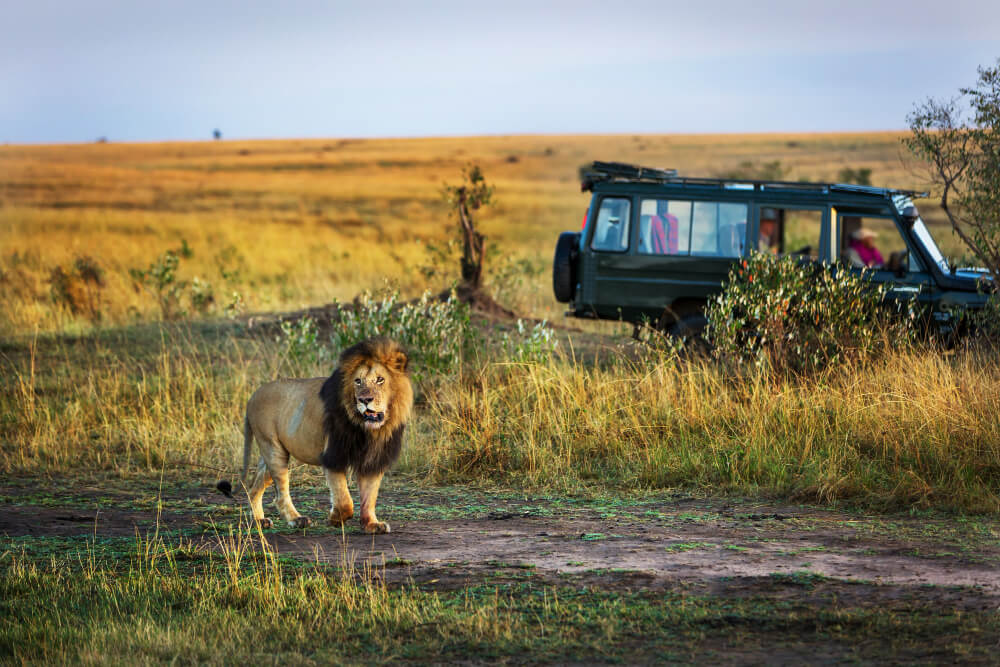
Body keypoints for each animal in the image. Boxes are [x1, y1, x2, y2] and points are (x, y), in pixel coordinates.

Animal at [235, 337, 412, 534]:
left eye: (380, 380)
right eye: (358, 381)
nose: (364, 400)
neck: (370, 431)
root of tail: (252, 396)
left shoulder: (374, 459)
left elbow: (369, 496)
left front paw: (371, 524)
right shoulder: (333, 455)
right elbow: (345, 500)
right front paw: (335, 518)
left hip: (270, 454)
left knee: (254, 489)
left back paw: (259, 521)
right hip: (273, 448)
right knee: (280, 493)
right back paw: (297, 520)